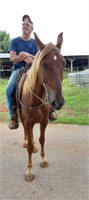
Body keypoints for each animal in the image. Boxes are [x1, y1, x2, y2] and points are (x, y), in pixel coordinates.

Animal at [17, 32, 65, 181]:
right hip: (22, 118)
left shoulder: (44, 121)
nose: (58, 102)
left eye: (64, 63)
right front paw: (29, 171)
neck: (35, 99)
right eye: (43, 65)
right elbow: (30, 144)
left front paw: (43, 160)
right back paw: (25, 141)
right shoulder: (27, 121)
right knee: (26, 133)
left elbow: (41, 139)